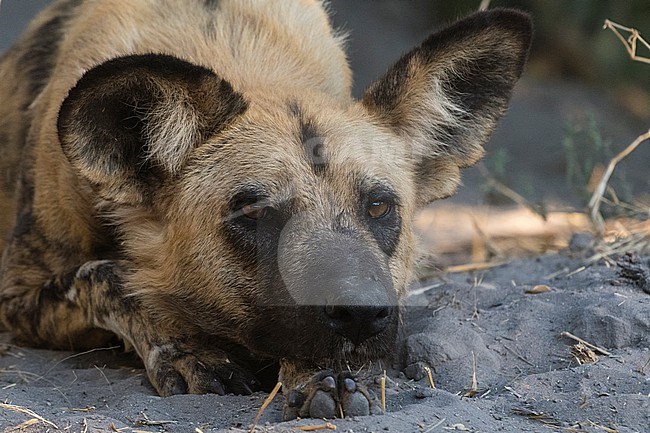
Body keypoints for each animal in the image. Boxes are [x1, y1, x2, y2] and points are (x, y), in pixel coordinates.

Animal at [0, 0, 528, 418]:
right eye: (253, 214)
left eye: (378, 207)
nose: (360, 314)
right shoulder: (16, 297)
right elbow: (106, 277)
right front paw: (189, 350)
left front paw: (317, 379)